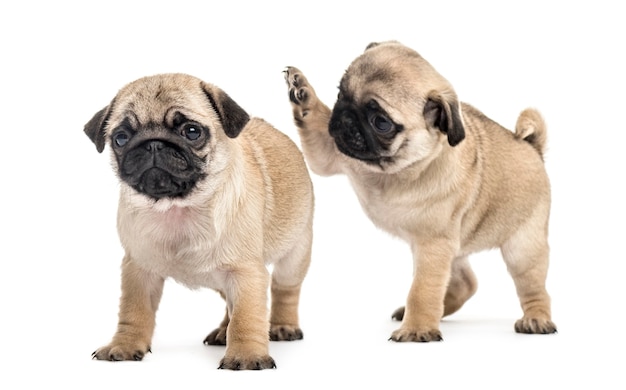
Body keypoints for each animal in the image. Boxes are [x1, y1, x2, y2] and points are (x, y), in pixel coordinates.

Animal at [85, 72, 314, 368]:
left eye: (192, 132)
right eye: (121, 138)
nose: (153, 143)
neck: (177, 208)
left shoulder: (245, 272)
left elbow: (247, 316)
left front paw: (247, 355)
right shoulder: (139, 270)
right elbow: (134, 311)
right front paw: (124, 345)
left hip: (296, 252)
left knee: (284, 289)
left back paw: (282, 326)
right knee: (230, 302)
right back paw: (222, 332)